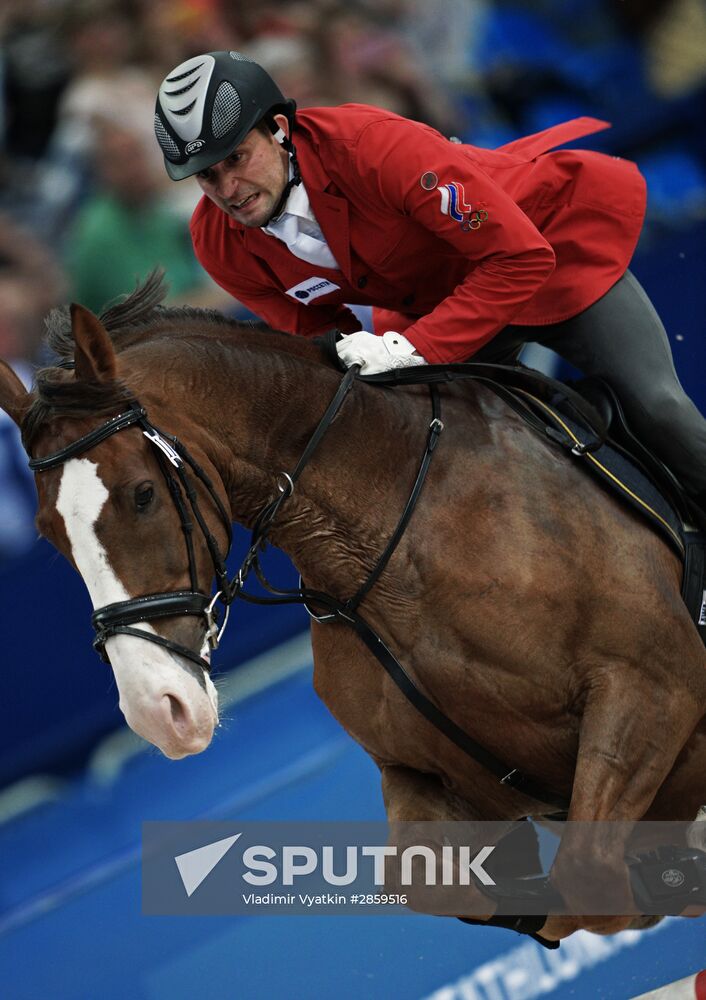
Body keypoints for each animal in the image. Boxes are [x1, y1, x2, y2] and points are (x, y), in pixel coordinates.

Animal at [0, 276, 700, 944]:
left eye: (142, 494)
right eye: (49, 534)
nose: (156, 711)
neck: (387, 557)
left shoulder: (650, 690)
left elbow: (586, 875)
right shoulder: (436, 777)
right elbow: (434, 884)